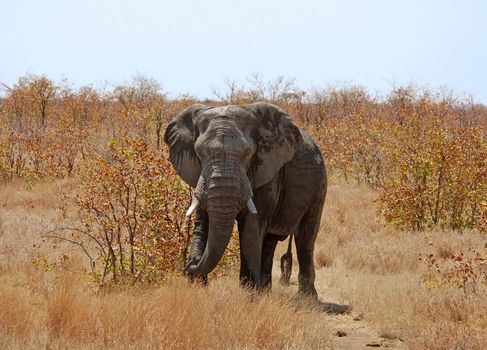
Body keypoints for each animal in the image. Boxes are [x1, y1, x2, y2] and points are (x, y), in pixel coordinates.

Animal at [164, 102, 328, 296]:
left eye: (248, 153)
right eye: (199, 153)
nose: (191, 263)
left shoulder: (267, 171)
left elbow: (251, 225)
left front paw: (248, 294)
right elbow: (205, 220)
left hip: (320, 185)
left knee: (305, 239)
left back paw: (305, 297)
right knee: (269, 241)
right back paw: (265, 291)